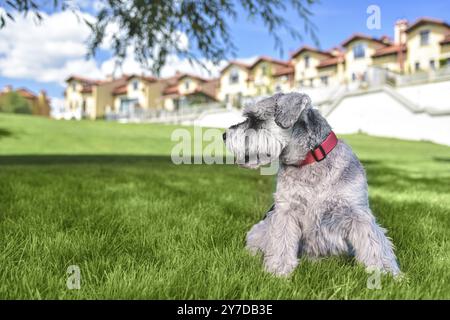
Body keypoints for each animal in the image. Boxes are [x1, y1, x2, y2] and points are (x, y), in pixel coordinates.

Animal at [225, 92, 400, 278]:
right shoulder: (285, 211)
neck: (311, 161)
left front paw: (387, 272)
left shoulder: (357, 213)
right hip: (262, 227)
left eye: (256, 119)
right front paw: (278, 270)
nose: (224, 136)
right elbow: (281, 242)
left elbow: (374, 243)